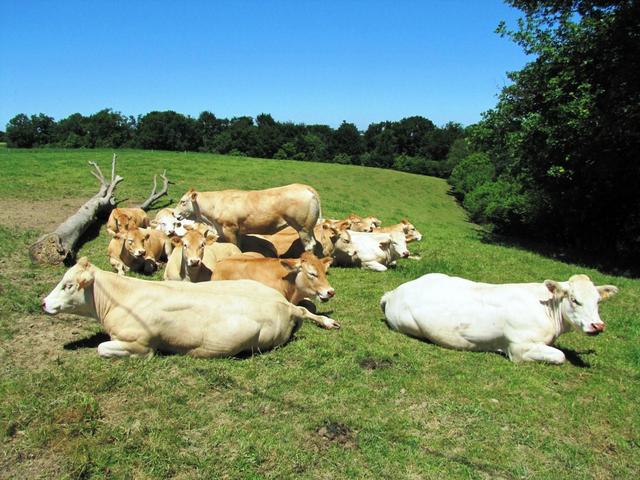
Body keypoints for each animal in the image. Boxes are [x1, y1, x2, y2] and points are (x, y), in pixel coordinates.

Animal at [41, 258, 340, 356]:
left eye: (68, 285)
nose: (44, 302)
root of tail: (281, 304)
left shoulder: (139, 344)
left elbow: (102, 348)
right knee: (305, 310)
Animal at [174, 183, 320, 251]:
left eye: (183, 201)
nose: (174, 214)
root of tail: (304, 186)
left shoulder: (229, 229)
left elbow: (234, 246)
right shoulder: (237, 231)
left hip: (303, 228)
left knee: (310, 245)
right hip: (309, 228)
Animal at [382, 274, 616, 364]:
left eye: (598, 301)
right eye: (575, 300)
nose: (598, 325)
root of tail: (395, 291)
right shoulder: (519, 349)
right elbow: (560, 356)